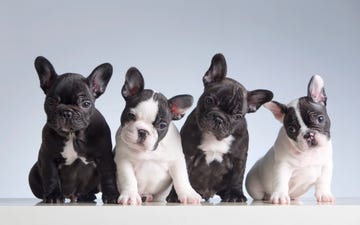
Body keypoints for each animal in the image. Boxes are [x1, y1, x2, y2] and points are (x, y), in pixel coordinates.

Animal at [28, 56, 118, 204]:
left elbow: (108, 176)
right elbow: (51, 176)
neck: (72, 135)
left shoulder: (104, 157)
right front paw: (53, 196)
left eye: (85, 104)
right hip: (33, 174)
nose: (66, 112)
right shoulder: (47, 156)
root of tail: (72, 195)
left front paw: (111, 195)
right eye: (51, 102)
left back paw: (85, 196)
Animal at [114, 67, 201, 205]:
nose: (143, 131)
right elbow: (128, 179)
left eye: (162, 125)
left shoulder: (177, 161)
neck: (148, 151)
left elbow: (181, 178)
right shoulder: (124, 162)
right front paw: (130, 195)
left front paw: (188, 194)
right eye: (131, 116)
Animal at [167, 53, 274, 202]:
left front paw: (236, 195)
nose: (219, 118)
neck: (214, 137)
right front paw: (177, 195)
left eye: (237, 116)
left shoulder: (238, 158)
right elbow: (182, 176)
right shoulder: (187, 154)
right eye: (209, 100)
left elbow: (237, 177)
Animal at [245, 75, 334, 204]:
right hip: (254, 188)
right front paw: (280, 196)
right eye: (292, 129)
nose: (308, 135)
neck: (309, 153)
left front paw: (324, 194)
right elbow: (281, 181)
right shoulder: (283, 166)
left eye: (320, 119)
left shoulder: (326, 166)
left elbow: (324, 181)